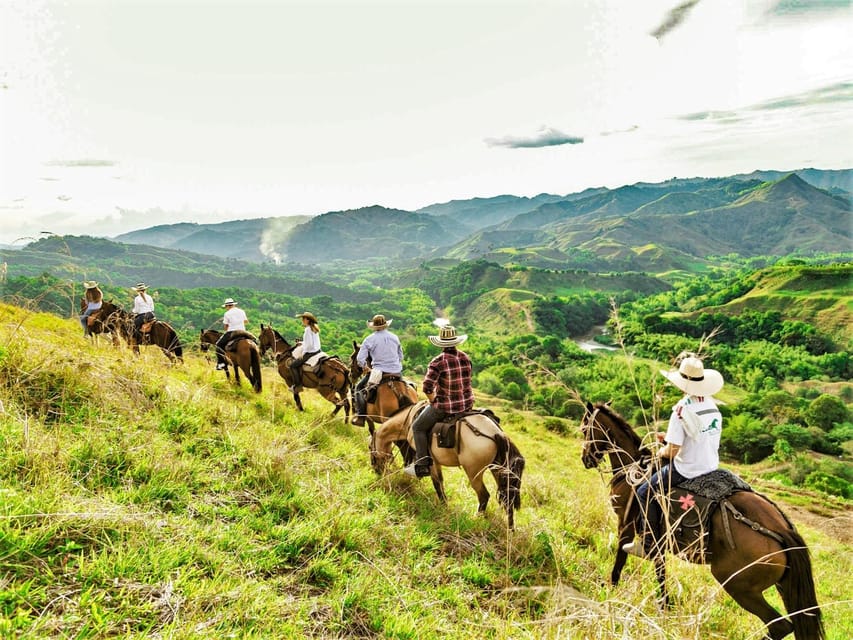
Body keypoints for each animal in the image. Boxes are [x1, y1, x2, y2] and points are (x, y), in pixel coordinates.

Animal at [368, 400, 524, 528]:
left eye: (370, 447)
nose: (376, 470)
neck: (408, 421)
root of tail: (495, 433)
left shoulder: (431, 461)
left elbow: (437, 484)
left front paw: (443, 507)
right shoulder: (436, 462)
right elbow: (440, 483)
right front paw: (445, 506)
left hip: (473, 472)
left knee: (484, 496)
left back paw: (477, 518)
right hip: (498, 470)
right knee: (508, 498)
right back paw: (510, 529)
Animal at [580, 402, 824, 636]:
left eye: (584, 429)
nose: (585, 459)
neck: (633, 467)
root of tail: (782, 529)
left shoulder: (626, 523)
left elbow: (621, 557)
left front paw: (610, 586)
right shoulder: (659, 540)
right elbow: (661, 571)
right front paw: (665, 606)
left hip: (737, 584)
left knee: (779, 626)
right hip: (784, 586)